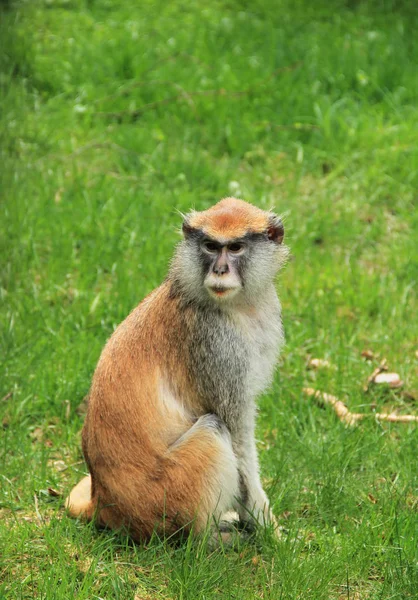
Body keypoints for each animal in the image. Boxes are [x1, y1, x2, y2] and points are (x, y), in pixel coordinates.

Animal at [66, 198, 288, 544]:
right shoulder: (216, 344)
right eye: (210, 246)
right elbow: (237, 434)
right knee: (213, 429)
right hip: (168, 497)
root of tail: (103, 503)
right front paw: (268, 529)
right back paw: (206, 539)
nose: (219, 269)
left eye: (235, 247)